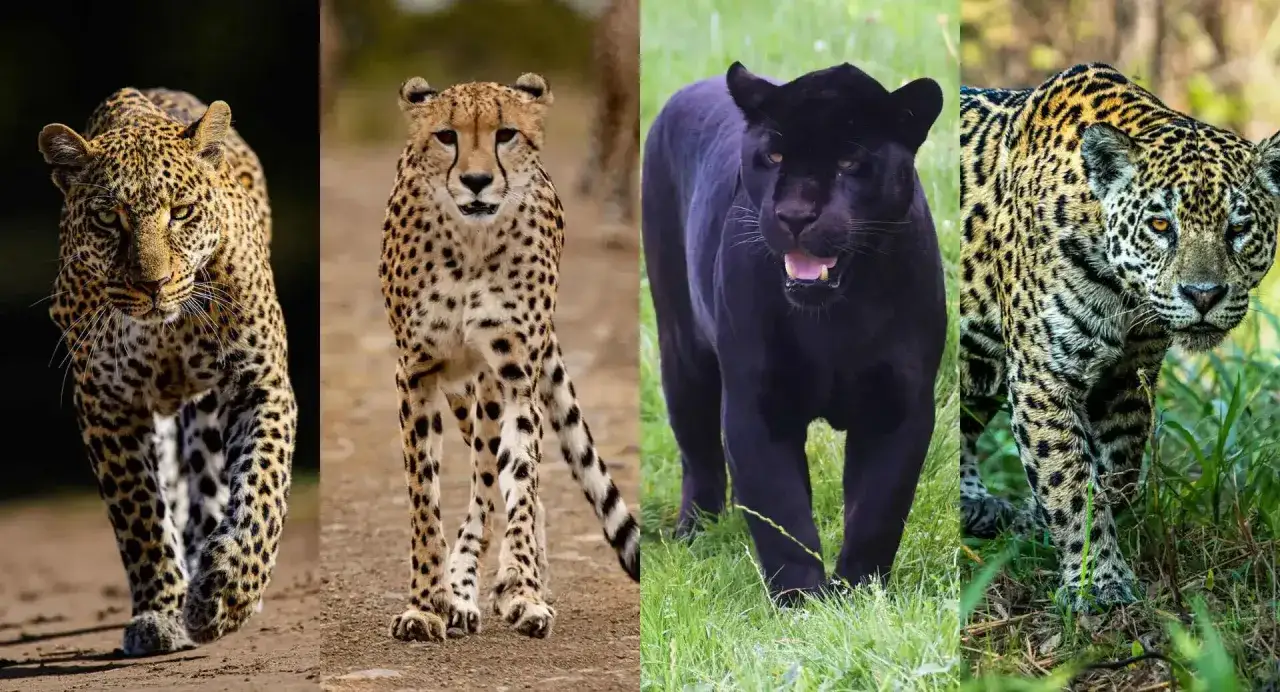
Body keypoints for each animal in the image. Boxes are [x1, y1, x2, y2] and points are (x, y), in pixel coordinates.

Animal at [38, 87, 297, 654]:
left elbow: (261, 491)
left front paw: (227, 593)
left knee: (211, 484)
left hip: (206, 410)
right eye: (108, 219)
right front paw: (160, 611)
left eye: (180, 213)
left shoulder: (259, 383)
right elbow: (140, 513)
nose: (152, 285)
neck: (166, 331)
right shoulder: (107, 404)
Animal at [378, 72, 641, 643]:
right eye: (446, 136)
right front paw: (425, 604)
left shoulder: (517, 376)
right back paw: (459, 593)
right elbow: (423, 500)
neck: (471, 245)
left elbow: (520, 483)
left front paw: (524, 593)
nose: (477, 181)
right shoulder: (417, 374)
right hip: (461, 392)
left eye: (506, 134)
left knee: (490, 482)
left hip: (491, 389)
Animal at [959, 62, 1280, 611]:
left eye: (1238, 229)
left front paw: (1055, 531)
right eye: (1161, 225)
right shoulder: (1043, 377)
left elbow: (1118, 471)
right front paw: (1097, 582)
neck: (1122, 294)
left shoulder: (1130, 375)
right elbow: (1069, 478)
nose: (1204, 294)